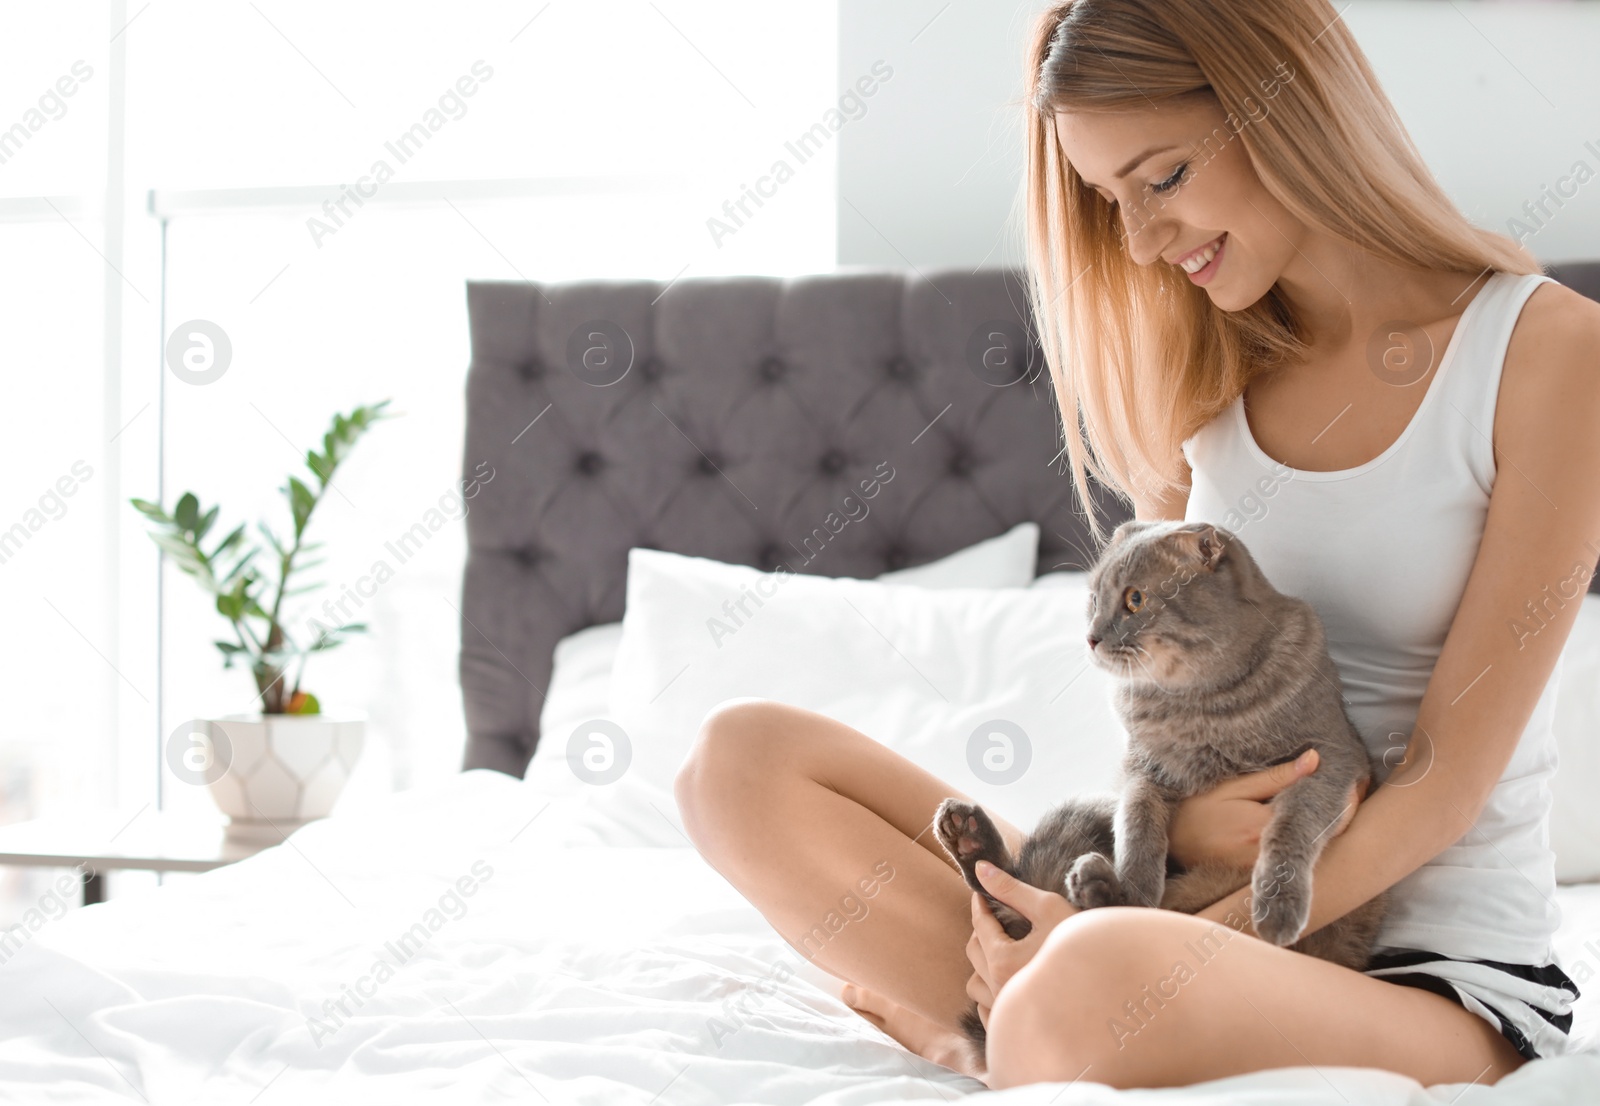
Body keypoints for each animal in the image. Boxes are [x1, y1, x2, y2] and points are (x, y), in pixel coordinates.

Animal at [934, 524, 1388, 1069]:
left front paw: (1277, 905)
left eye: (1135, 600)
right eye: (1094, 599)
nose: (1091, 636)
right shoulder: (1141, 771)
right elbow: (1138, 823)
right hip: (1084, 810)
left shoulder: (1331, 762)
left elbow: (1291, 825)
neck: (1201, 706)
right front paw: (1137, 883)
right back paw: (983, 840)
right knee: (1012, 891)